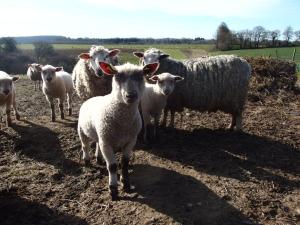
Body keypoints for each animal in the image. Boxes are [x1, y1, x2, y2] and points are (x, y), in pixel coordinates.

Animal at [77, 60, 159, 200]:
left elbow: (124, 163)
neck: (123, 122)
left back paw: (98, 158)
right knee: (85, 146)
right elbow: (112, 166)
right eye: (118, 76)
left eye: (140, 76)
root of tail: (92, 98)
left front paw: (126, 184)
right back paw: (87, 161)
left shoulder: (130, 140)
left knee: (97, 143)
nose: (131, 95)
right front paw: (113, 189)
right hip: (82, 130)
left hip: (100, 133)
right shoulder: (107, 143)